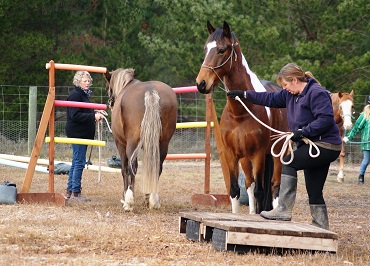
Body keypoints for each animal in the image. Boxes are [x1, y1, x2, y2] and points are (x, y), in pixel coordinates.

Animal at [103, 68, 178, 212]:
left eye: (107, 87)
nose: (110, 103)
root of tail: (150, 91)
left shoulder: (120, 144)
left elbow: (124, 169)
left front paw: (125, 197)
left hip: (132, 143)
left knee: (131, 167)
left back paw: (129, 203)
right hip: (162, 144)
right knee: (157, 167)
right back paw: (153, 200)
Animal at [195, 21, 290, 215]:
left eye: (222, 49)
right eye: (205, 48)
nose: (201, 83)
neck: (240, 112)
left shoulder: (259, 154)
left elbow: (261, 191)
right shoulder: (232, 155)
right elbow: (235, 190)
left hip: (276, 154)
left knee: (274, 186)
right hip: (246, 159)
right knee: (250, 185)